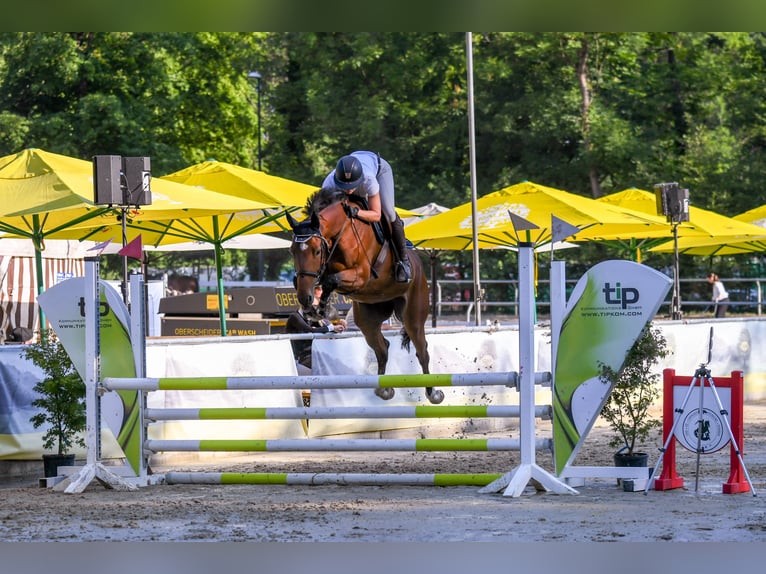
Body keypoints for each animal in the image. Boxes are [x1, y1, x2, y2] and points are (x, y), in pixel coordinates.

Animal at [286, 189, 444, 404]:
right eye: (292, 251)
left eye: (317, 251)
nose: (304, 298)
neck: (342, 231)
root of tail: (418, 264)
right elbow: (317, 280)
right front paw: (315, 308)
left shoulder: (360, 275)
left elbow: (330, 280)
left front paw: (321, 308)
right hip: (368, 319)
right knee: (382, 348)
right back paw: (384, 391)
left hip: (413, 315)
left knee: (422, 350)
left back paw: (433, 393)